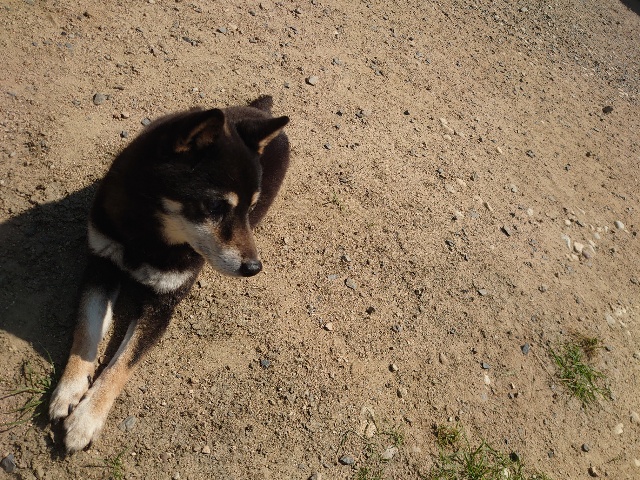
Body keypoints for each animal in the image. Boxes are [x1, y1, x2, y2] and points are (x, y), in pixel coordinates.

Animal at [48, 96, 289, 453]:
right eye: (215, 207)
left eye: (249, 208)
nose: (253, 268)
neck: (146, 238)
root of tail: (261, 109)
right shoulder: (100, 265)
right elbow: (86, 331)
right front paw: (69, 389)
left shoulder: (163, 304)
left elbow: (122, 365)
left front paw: (86, 419)